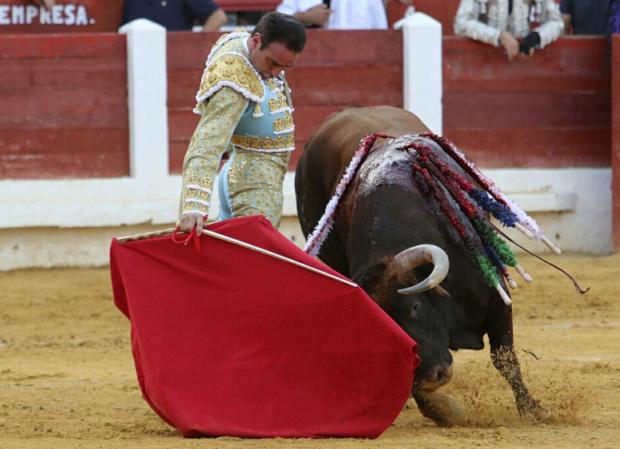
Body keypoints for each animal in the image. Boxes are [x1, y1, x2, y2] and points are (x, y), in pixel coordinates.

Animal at [296, 107, 548, 426]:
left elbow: (504, 356)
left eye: (415, 306)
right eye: (383, 325)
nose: (432, 377)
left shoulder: (497, 298)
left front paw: (534, 410)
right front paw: (441, 411)